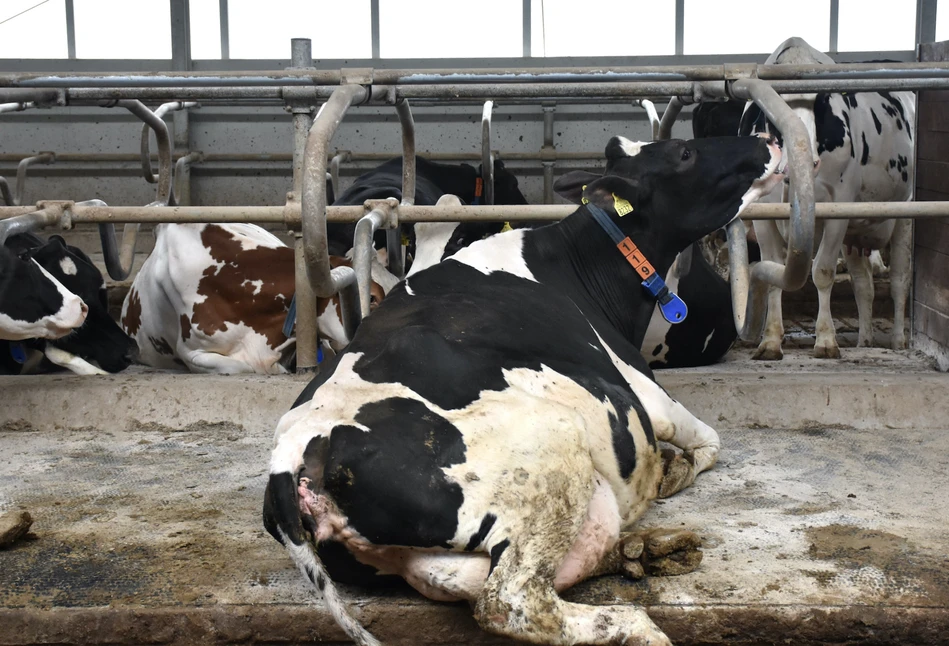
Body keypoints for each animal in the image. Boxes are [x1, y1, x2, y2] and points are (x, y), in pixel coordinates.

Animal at [262, 133, 780, 646]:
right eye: (684, 152)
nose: (767, 139)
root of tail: (293, 456)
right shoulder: (647, 395)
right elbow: (708, 440)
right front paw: (675, 469)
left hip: (419, 556)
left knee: (474, 581)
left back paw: (643, 552)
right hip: (550, 454)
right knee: (510, 600)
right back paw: (638, 624)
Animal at [736, 36, 916, 360]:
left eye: (821, 101)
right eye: (775, 105)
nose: (809, 161)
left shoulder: (838, 206)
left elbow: (822, 271)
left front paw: (826, 339)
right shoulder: (762, 213)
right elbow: (772, 270)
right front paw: (770, 340)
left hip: (905, 214)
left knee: (899, 280)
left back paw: (898, 341)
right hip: (856, 234)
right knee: (863, 283)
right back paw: (865, 340)